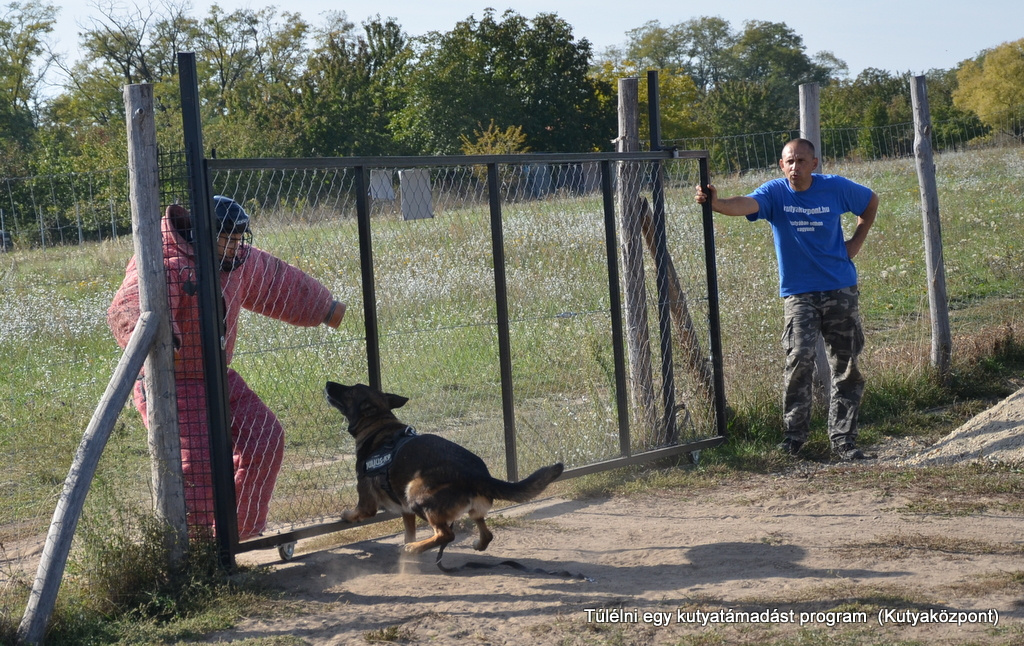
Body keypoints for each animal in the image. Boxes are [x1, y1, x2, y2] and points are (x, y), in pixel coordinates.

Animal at [327, 380, 565, 556]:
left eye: (349, 390)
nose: (329, 383)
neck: (378, 423)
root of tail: (478, 475)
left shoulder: (368, 503)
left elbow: (361, 511)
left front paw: (347, 515)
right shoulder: (405, 510)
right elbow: (408, 530)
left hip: (416, 493)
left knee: (446, 535)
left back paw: (415, 548)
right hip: (463, 507)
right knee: (485, 533)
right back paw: (477, 544)